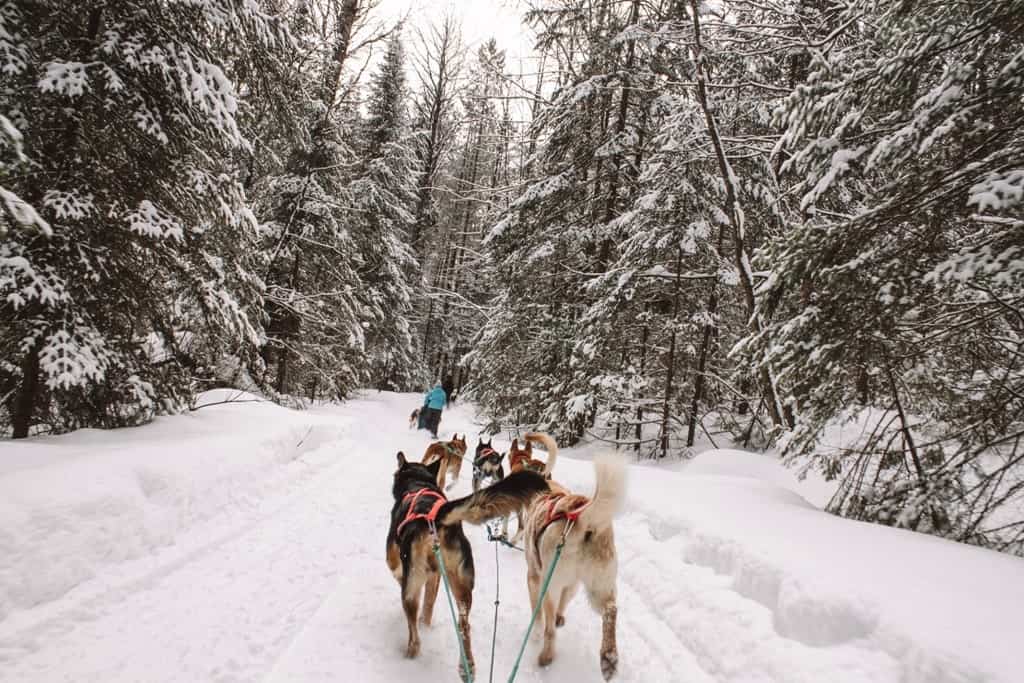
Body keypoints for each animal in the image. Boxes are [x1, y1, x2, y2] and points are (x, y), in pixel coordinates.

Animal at [524, 454, 626, 679]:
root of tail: (582, 517)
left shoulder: (535, 577)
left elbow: (538, 615)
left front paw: (535, 632)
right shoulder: (573, 584)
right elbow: (565, 600)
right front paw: (561, 617)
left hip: (550, 587)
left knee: (550, 630)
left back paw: (546, 656)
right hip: (599, 587)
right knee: (611, 609)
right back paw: (609, 657)